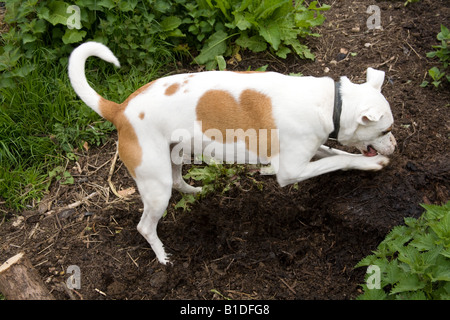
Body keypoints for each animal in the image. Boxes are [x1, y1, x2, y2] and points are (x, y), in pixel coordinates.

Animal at [68, 41, 396, 264]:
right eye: (384, 131)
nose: (394, 145)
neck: (330, 103)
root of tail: (120, 110)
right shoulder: (290, 172)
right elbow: (339, 159)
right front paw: (373, 163)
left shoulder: (308, 152)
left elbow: (336, 154)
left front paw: (364, 161)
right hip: (155, 186)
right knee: (145, 226)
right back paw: (162, 256)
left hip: (174, 156)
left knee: (177, 181)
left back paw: (197, 192)